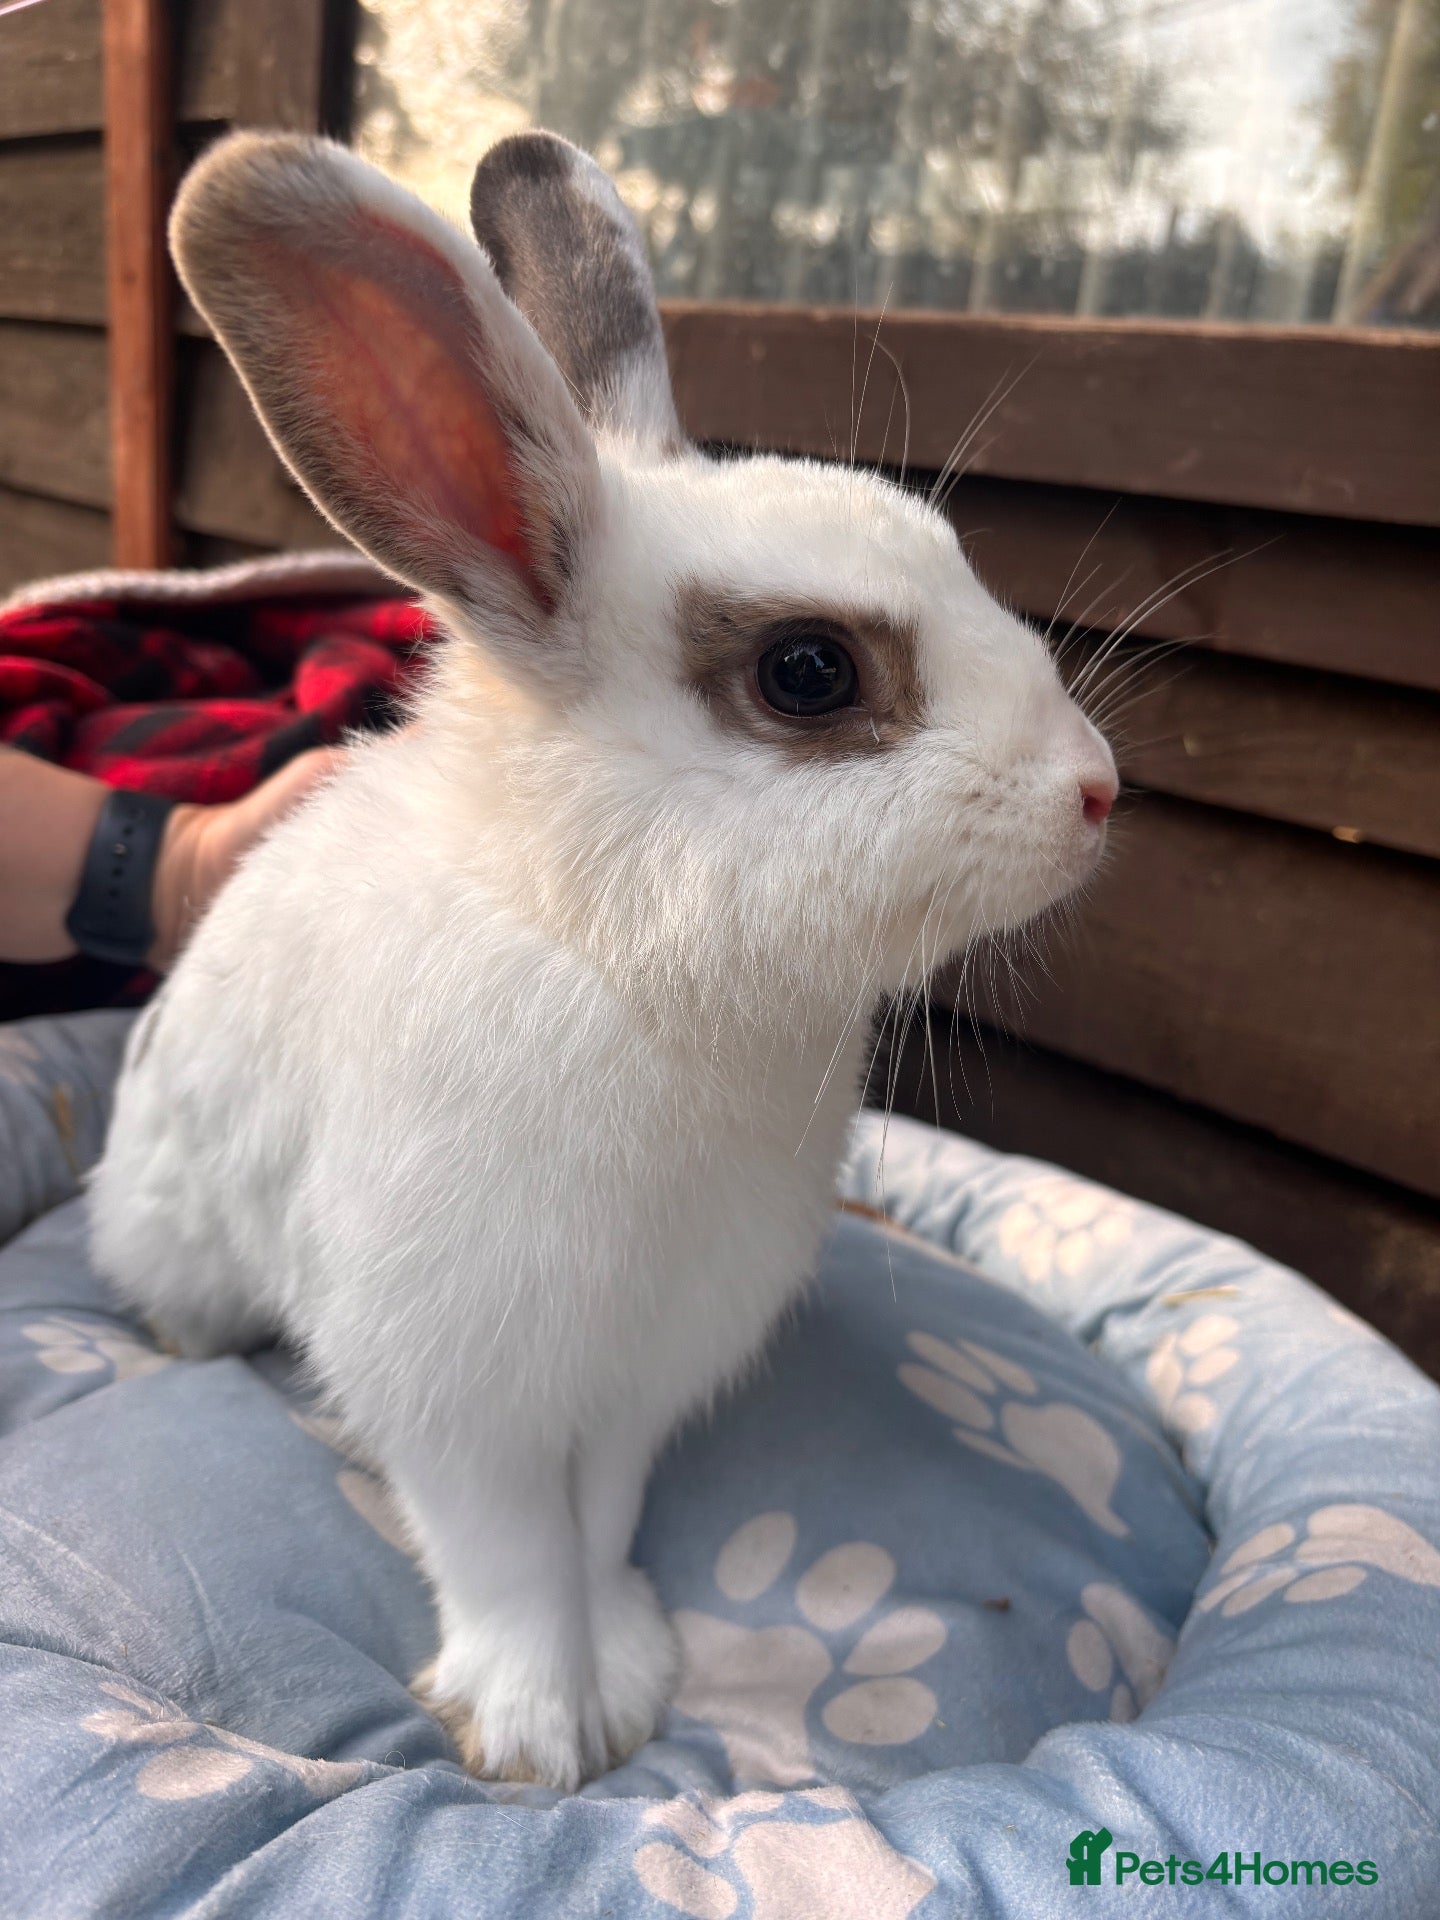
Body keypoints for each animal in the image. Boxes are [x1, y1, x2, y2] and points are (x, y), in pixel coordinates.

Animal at [88, 127, 1118, 1792]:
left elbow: (599, 1519)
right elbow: (505, 1551)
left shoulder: (644, 1369)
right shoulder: (456, 1384)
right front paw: (537, 1727)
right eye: (809, 671)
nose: (1096, 789)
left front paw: (624, 1668)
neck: (613, 945)